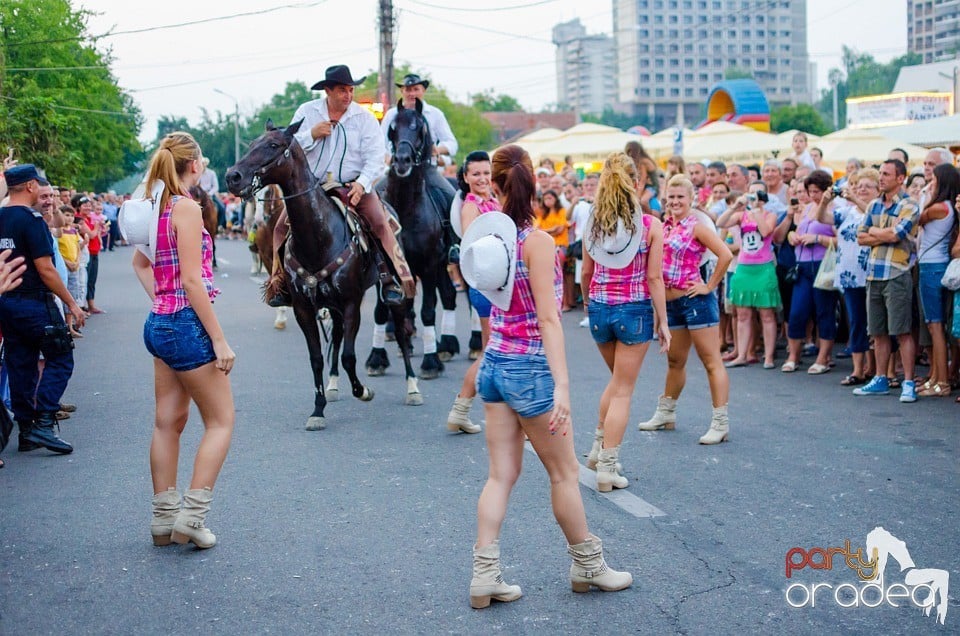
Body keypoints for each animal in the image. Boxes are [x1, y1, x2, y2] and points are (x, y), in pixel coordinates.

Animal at [225, 119, 424, 430]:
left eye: (273, 145)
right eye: (253, 143)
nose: (233, 176)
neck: (320, 236)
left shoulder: (352, 303)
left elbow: (349, 357)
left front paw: (363, 390)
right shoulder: (304, 308)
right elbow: (317, 357)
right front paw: (318, 409)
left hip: (395, 295)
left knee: (402, 334)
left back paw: (413, 388)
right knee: (338, 336)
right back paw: (331, 386)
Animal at [366, 99, 460, 378]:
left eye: (419, 128)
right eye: (393, 128)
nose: (401, 160)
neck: (405, 208)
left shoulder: (428, 266)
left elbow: (427, 310)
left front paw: (430, 362)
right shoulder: (388, 267)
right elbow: (382, 310)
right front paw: (377, 358)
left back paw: (453, 346)